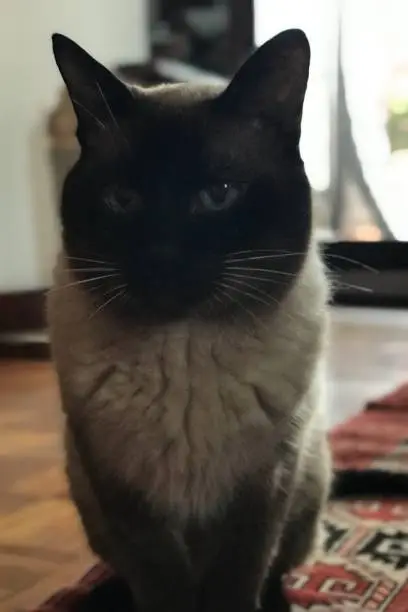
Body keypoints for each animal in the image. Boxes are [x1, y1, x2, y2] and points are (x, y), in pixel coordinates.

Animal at [47, 28, 332, 612]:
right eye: (123, 199)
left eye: (218, 196)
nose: (163, 258)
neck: (184, 354)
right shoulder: (127, 498)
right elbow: (162, 585)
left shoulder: (262, 488)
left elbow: (237, 581)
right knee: (120, 572)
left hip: (308, 479)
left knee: (278, 569)